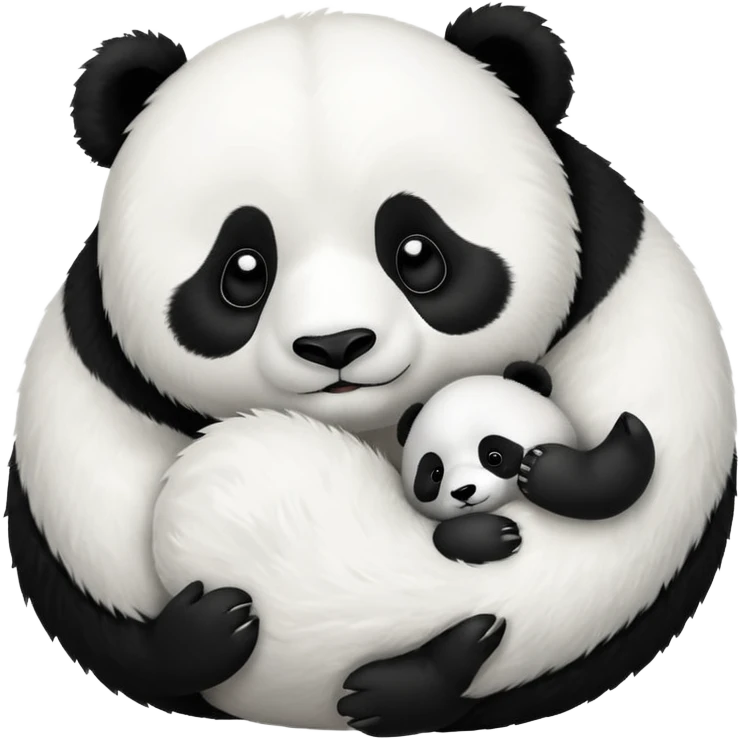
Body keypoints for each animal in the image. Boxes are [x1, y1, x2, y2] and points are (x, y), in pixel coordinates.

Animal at [397, 360, 656, 565]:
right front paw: (503, 534)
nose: (463, 491)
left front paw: (537, 468)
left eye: (494, 456)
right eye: (435, 473)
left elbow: (600, 485)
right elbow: (442, 534)